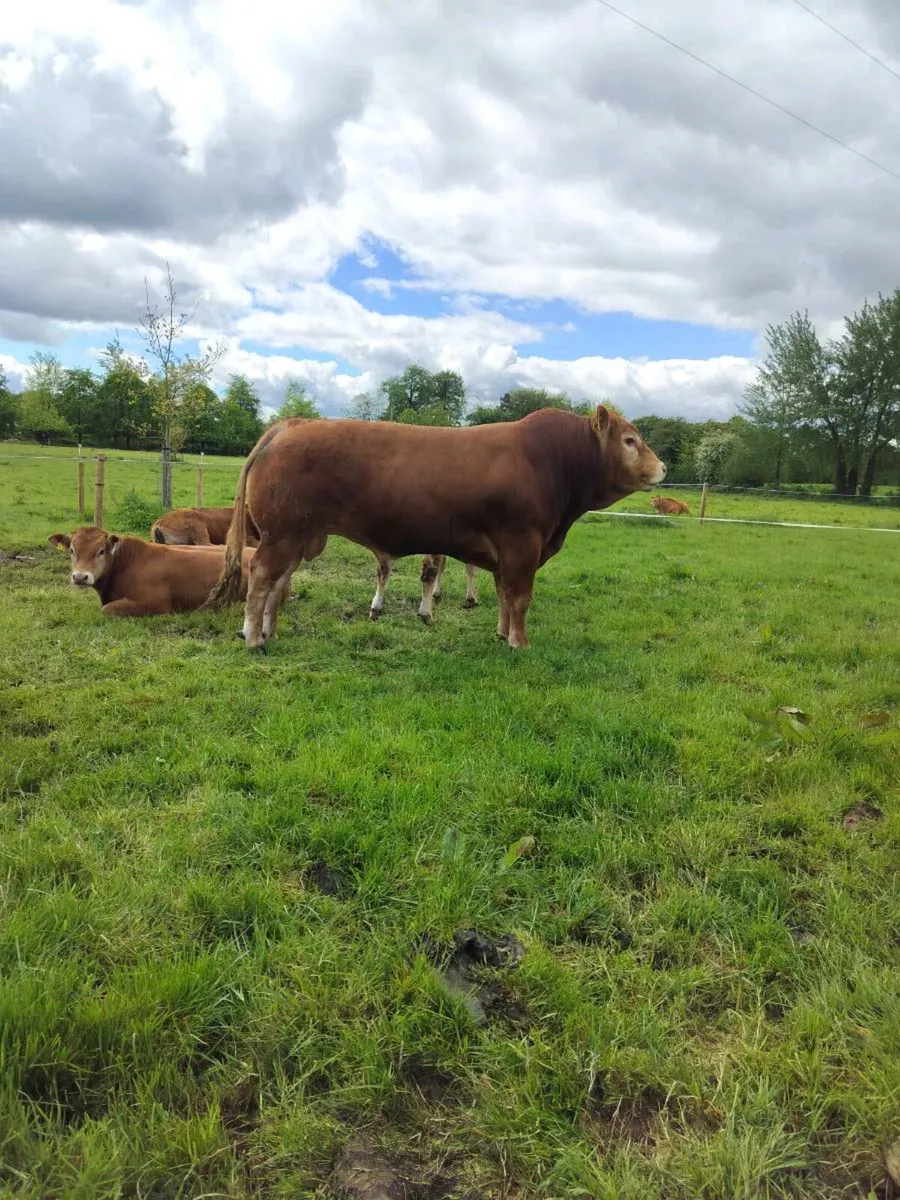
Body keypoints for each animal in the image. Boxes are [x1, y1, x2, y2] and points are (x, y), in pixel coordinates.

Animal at [205, 405, 666, 651]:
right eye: (629, 440)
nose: (662, 467)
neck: (553, 462)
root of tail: (292, 424)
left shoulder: (505, 552)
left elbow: (503, 594)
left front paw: (501, 633)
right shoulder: (522, 544)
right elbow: (519, 597)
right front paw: (519, 641)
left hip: (295, 537)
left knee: (277, 583)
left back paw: (268, 632)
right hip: (281, 535)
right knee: (261, 578)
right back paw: (252, 637)